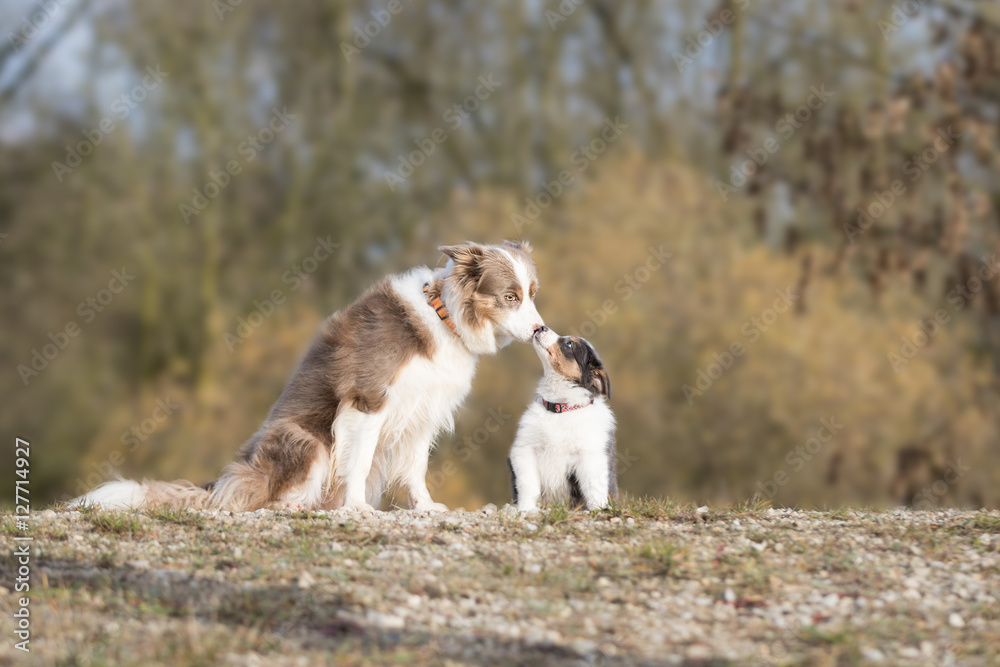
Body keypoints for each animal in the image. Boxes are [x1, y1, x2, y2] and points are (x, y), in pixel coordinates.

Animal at [76, 243, 548, 516]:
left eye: (532, 293)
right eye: (510, 296)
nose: (541, 331)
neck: (444, 315)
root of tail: (226, 480)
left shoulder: (423, 414)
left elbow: (416, 470)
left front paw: (427, 508)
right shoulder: (367, 400)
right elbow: (358, 462)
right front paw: (357, 509)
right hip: (305, 439)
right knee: (265, 496)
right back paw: (295, 505)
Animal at [512, 328, 612, 512]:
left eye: (569, 344)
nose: (541, 328)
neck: (560, 408)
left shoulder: (590, 455)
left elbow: (594, 486)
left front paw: (598, 509)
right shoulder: (525, 449)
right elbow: (527, 483)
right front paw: (526, 508)